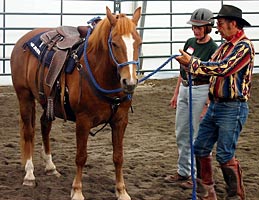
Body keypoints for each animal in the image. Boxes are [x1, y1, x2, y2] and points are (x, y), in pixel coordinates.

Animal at [10, 6, 142, 200]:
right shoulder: (83, 121)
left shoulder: (120, 121)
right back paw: (29, 174)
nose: (129, 82)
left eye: (139, 43)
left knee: (45, 125)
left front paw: (122, 191)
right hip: (24, 96)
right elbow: (81, 156)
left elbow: (118, 157)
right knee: (28, 133)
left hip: (48, 101)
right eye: (114, 43)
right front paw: (77, 190)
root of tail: (22, 41)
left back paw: (50, 167)